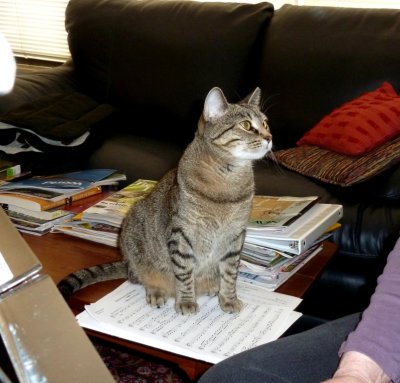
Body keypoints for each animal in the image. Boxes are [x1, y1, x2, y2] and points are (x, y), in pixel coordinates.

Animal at [57, 87, 272, 316]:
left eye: (266, 123)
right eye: (247, 125)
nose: (269, 137)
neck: (228, 183)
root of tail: (126, 263)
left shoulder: (235, 237)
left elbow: (230, 274)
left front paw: (228, 299)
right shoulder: (181, 235)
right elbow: (185, 274)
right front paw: (186, 301)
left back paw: (212, 286)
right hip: (135, 239)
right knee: (141, 277)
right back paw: (156, 291)